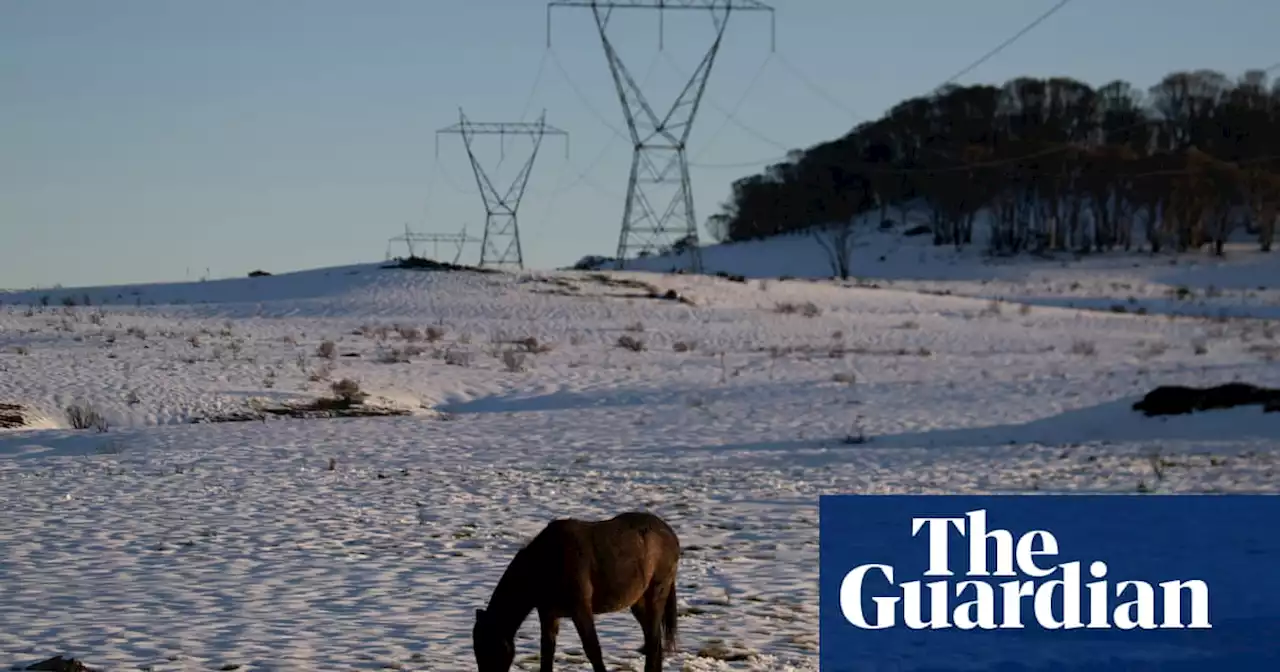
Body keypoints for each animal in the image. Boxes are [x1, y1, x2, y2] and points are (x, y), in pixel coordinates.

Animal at [473, 512, 680, 665]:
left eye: (490, 650)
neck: (547, 560)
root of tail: (671, 534)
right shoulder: (549, 614)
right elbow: (547, 653)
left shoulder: (581, 610)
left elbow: (593, 651)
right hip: (638, 602)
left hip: (656, 595)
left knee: (653, 645)